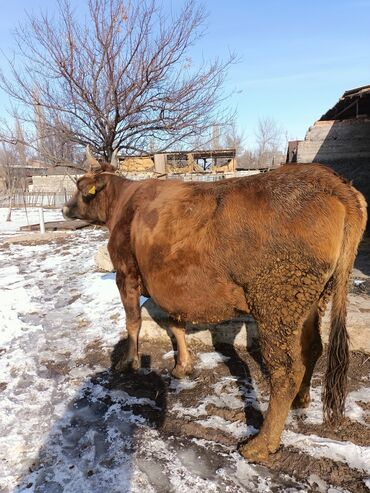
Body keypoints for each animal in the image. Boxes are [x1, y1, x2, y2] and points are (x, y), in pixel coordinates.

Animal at [63, 149, 368, 462]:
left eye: (80, 187)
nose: (65, 209)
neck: (122, 203)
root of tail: (333, 181)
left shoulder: (125, 273)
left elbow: (133, 321)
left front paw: (128, 362)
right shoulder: (173, 285)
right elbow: (176, 324)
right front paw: (182, 366)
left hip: (276, 298)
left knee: (285, 371)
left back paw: (261, 445)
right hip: (312, 299)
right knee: (313, 347)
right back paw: (301, 400)